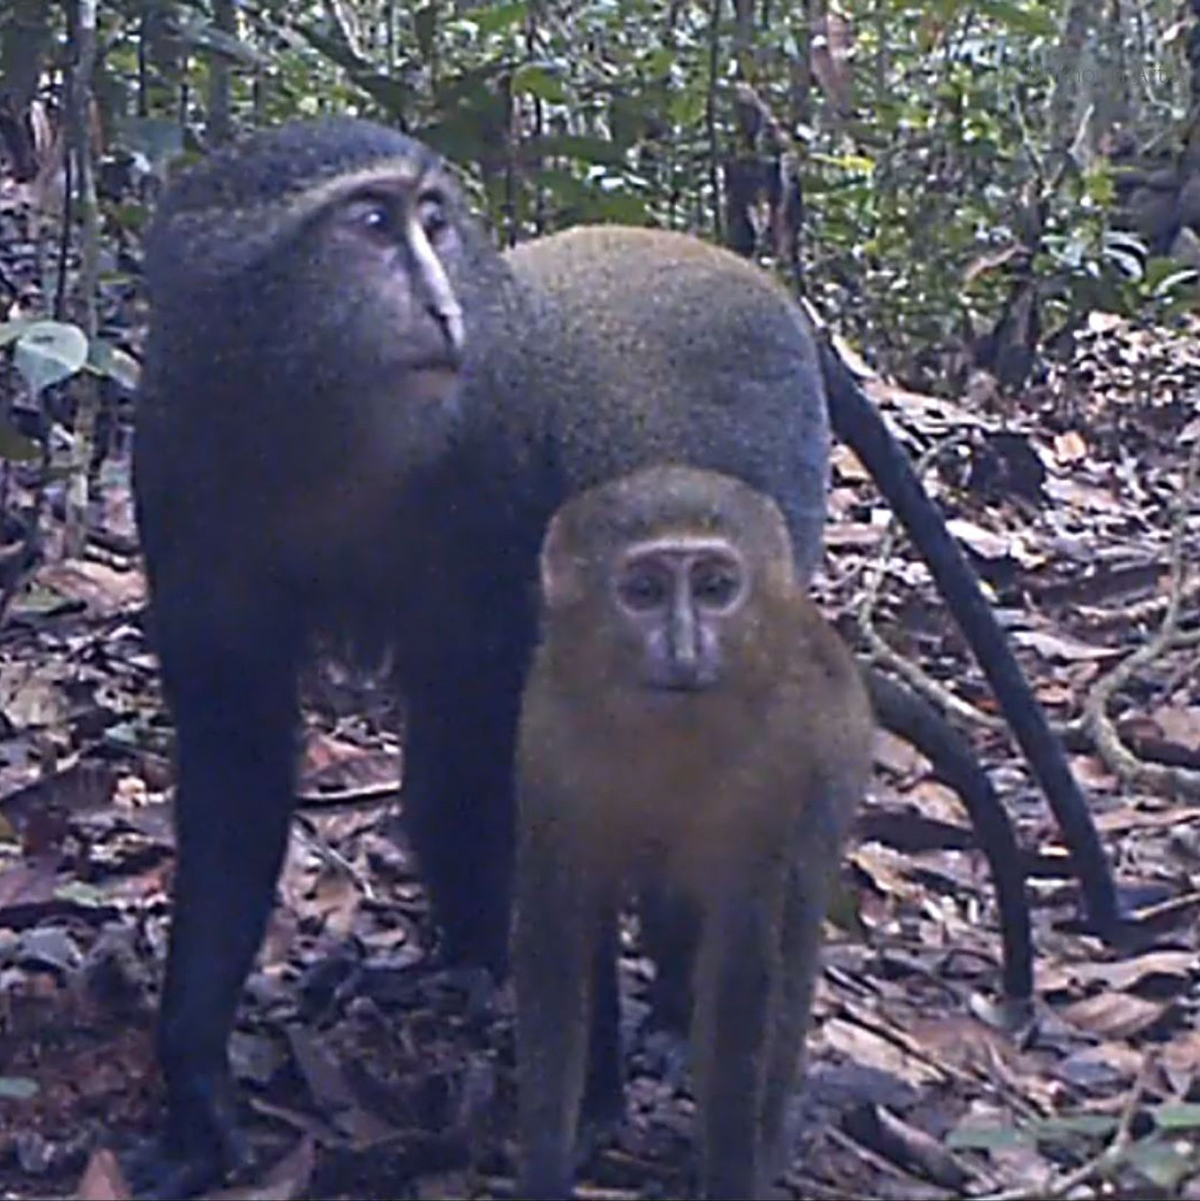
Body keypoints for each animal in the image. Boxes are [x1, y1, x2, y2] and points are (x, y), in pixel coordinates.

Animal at [513, 466, 874, 1201]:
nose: (685, 649)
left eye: (713, 588)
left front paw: (733, 1170)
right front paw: (545, 1168)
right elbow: (556, 945)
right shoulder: (546, 740)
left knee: (792, 928)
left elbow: (744, 969)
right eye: (645, 593)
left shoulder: (779, 768)